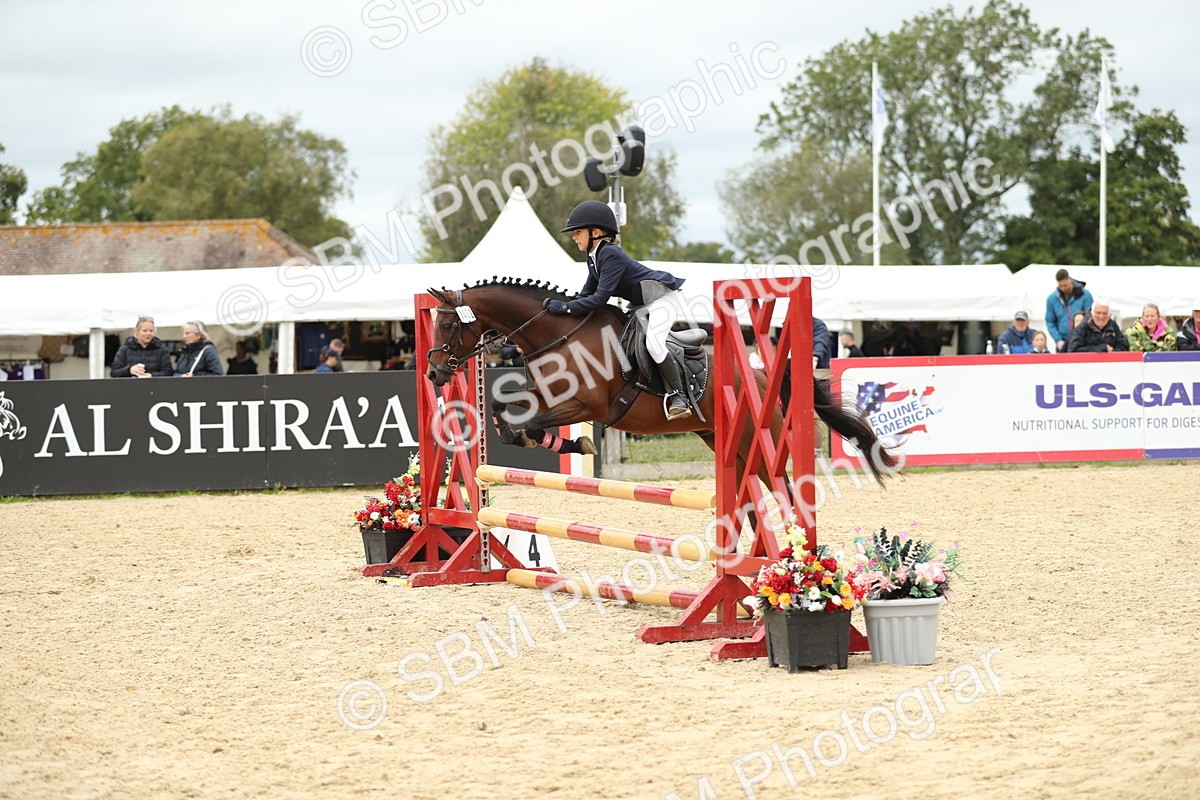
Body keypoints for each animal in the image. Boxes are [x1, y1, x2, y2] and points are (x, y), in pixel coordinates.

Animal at [424, 279, 897, 496]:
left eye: (447, 325)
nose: (434, 375)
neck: (556, 334)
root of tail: (764, 373)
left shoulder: (584, 405)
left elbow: (531, 424)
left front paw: (576, 445)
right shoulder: (543, 397)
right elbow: (504, 414)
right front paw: (562, 444)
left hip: (759, 440)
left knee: (781, 487)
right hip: (722, 440)